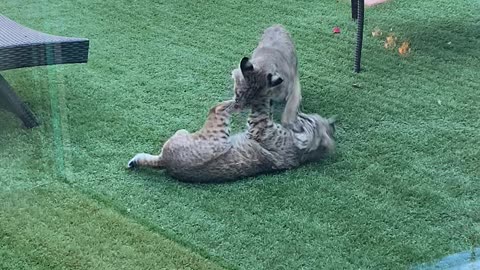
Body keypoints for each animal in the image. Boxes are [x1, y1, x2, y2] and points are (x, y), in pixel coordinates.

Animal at [128, 97, 338, 184]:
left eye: (310, 121)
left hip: (217, 134)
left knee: (216, 108)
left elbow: (262, 112)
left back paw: (235, 100)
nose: (302, 114)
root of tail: (167, 163)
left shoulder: (261, 127)